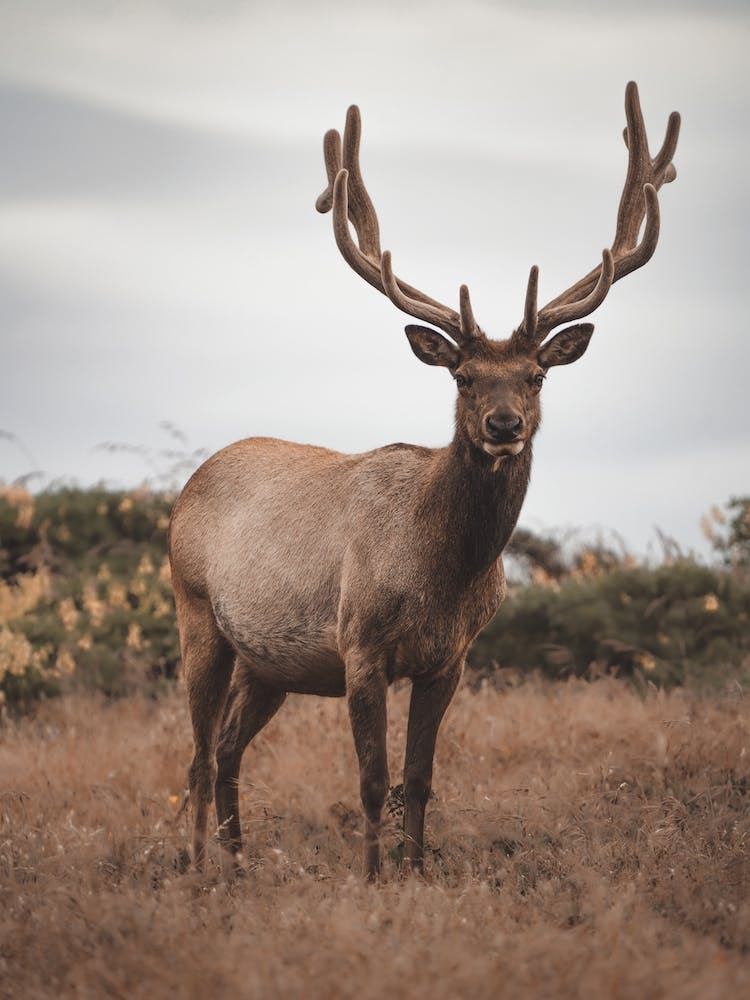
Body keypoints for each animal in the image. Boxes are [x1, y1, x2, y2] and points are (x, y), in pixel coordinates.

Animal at [168, 82, 680, 880]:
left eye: (535, 376)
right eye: (463, 376)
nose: (503, 425)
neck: (440, 571)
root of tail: (192, 482)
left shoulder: (452, 660)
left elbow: (421, 778)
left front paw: (413, 872)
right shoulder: (360, 645)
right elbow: (373, 780)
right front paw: (374, 879)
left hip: (268, 662)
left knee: (224, 750)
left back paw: (239, 862)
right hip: (196, 613)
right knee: (193, 754)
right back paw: (197, 871)